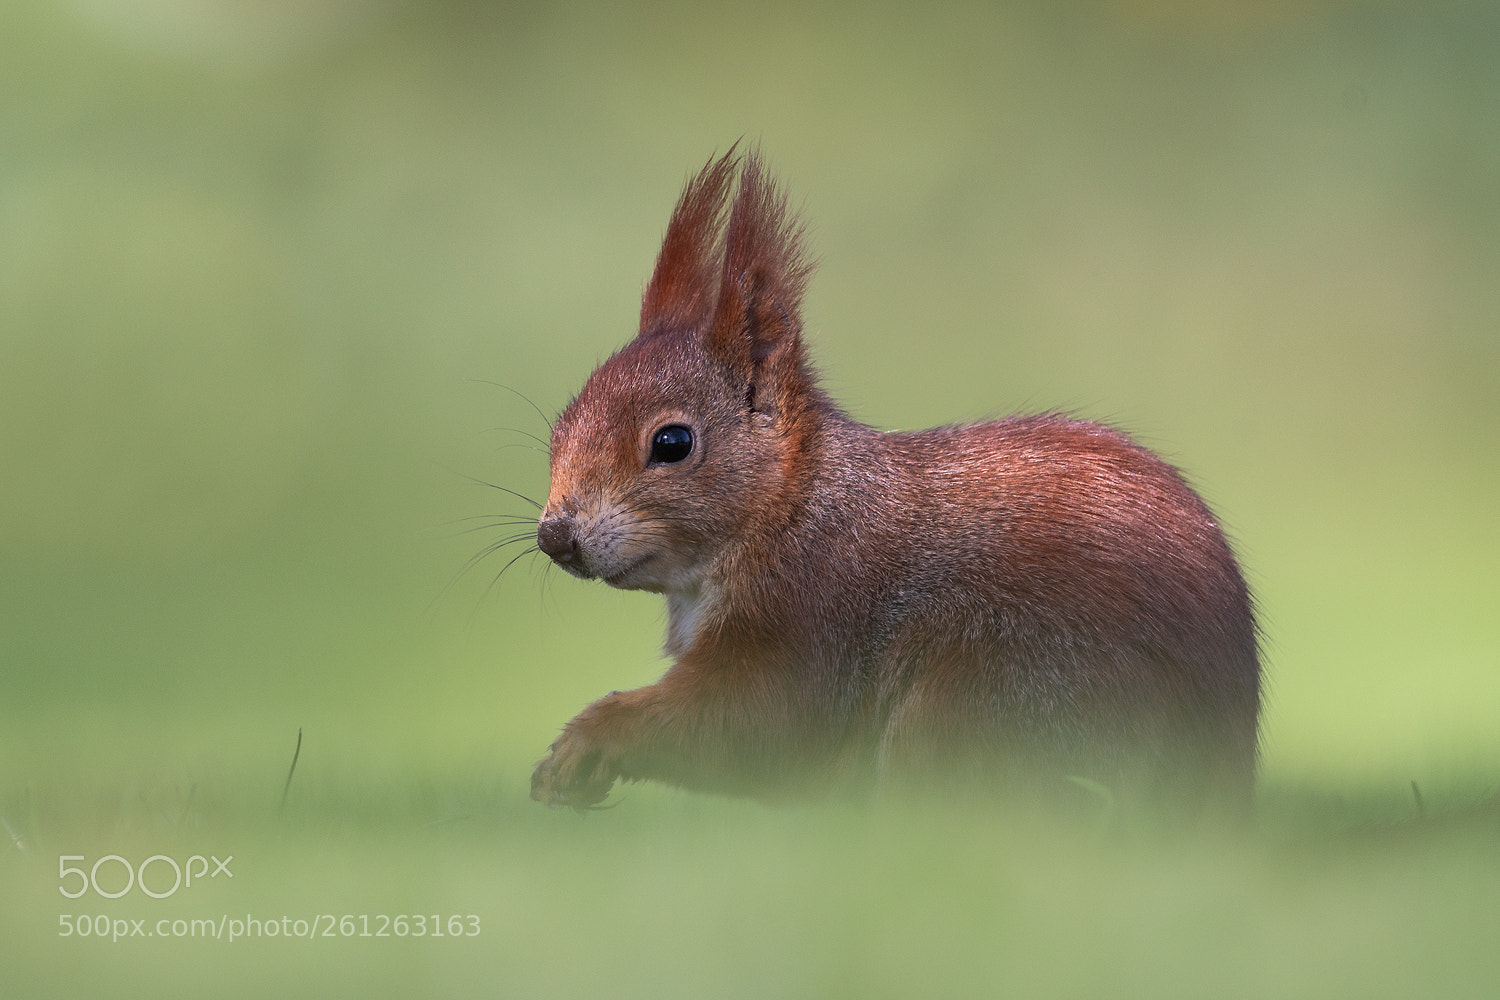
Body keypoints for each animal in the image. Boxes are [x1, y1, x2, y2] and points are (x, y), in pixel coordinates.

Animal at [528, 151, 1260, 814]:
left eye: (672, 443)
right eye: (559, 428)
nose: (555, 537)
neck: (791, 509)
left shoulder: (813, 614)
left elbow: (753, 726)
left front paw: (590, 738)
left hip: (981, 696)